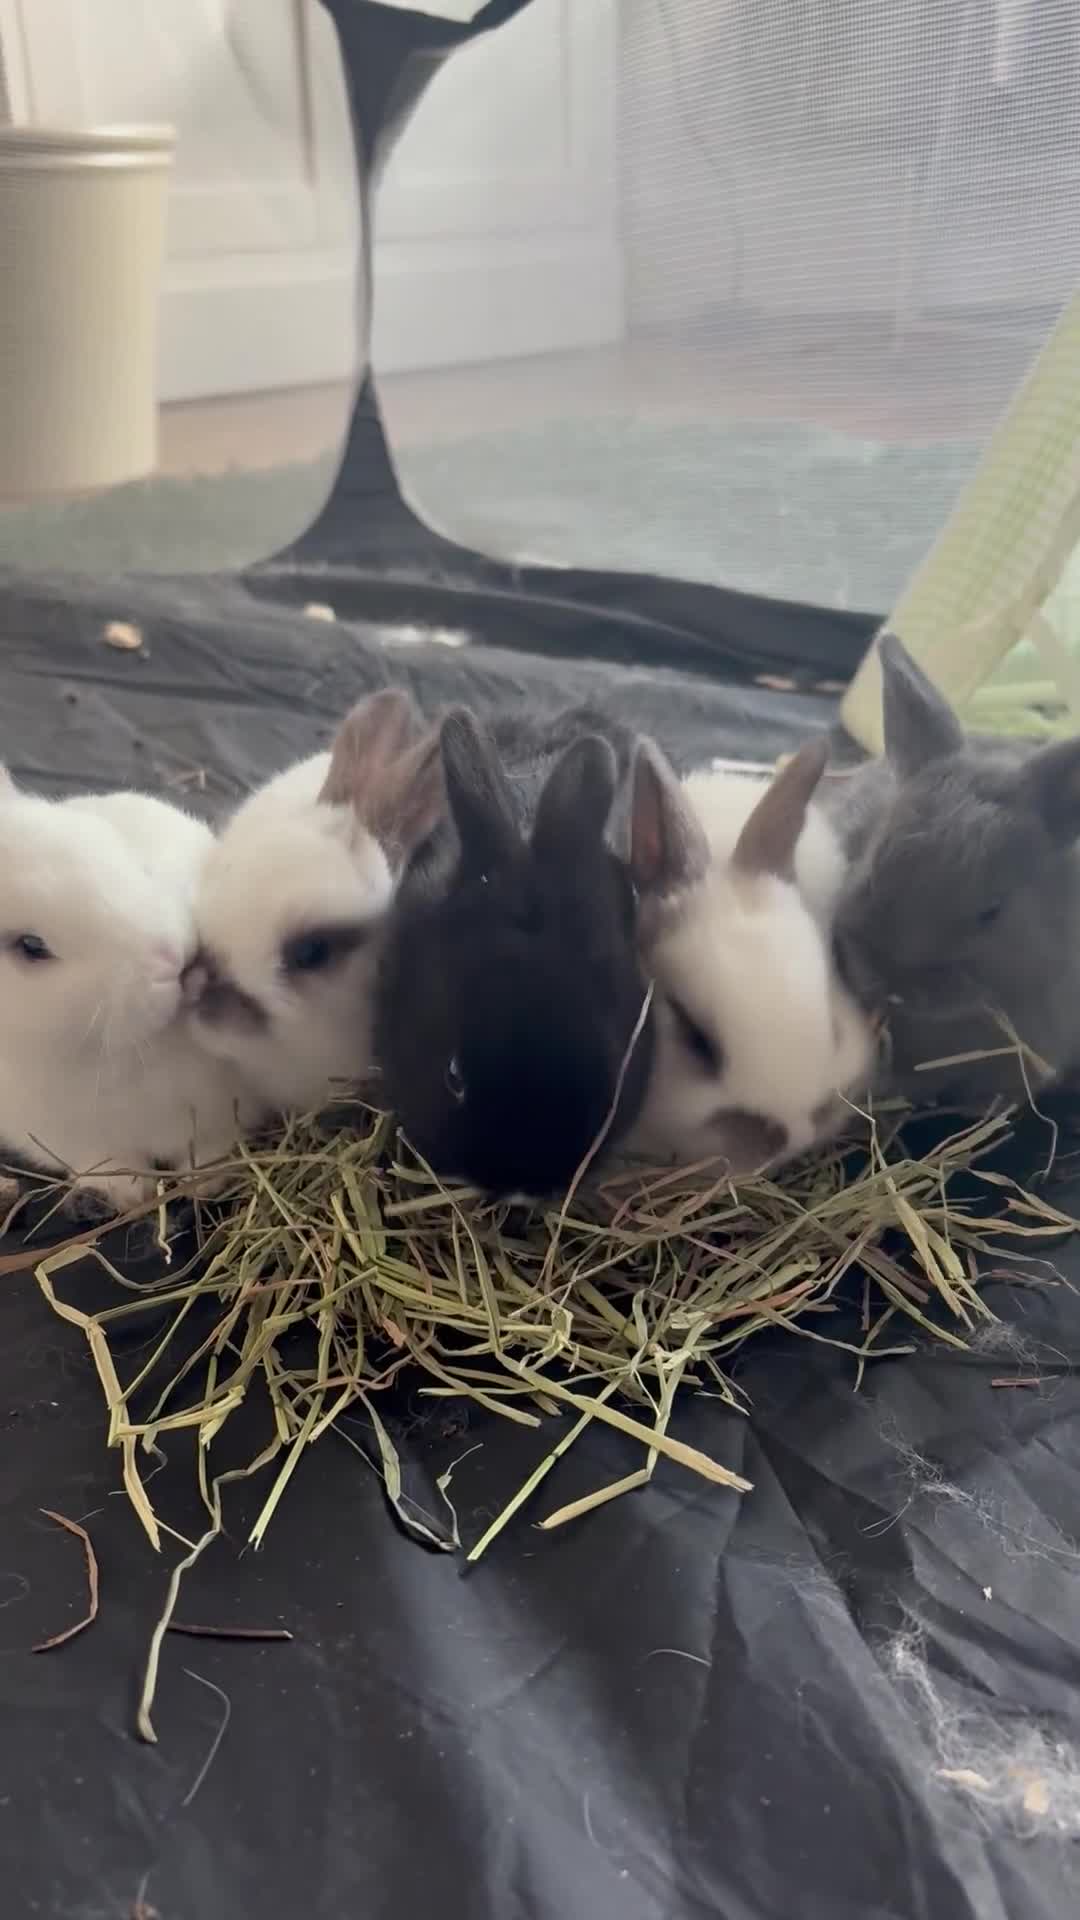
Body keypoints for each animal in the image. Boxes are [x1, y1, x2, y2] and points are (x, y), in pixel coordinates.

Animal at [0, 774, 263, 1215]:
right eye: (31, 946)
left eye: (121, 856)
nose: (171, 958)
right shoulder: (63, 1132)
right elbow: (106, 1161)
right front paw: (127, 1193)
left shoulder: (223, 1107)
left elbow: (211, 1144)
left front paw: (205, 1181)